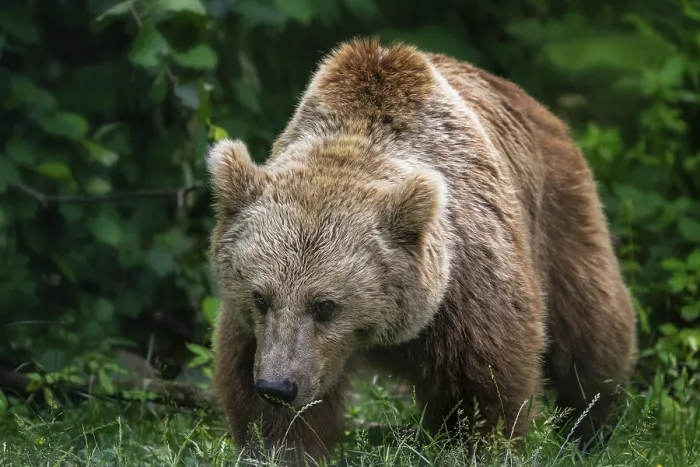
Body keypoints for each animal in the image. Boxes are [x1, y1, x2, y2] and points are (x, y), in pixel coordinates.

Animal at [206, 38, 638, 464]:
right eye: (261, 297)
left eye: (325, 305)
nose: (278, 387)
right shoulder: (256, 334)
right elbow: (269, 413)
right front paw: (280, 446)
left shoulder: (468, 285)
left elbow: (484, 388)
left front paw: (473, 446)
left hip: (560, 214)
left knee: (590, 327)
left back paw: (590, 426)